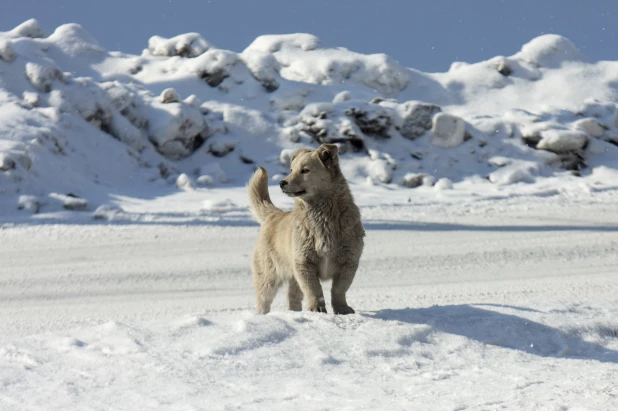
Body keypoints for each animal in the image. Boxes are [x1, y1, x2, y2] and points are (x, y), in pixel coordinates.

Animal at [247, 143, 364, 314]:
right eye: (291, 169)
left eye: (305, 170)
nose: (282, 183)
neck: (323, 218)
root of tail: (273, 215)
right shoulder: (304, 263)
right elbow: (314, 290)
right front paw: (317, 308)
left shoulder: (349, 262)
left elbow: (339, 289)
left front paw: (342, 308)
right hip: (268, 276)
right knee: (263, 300)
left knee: (292, 297)